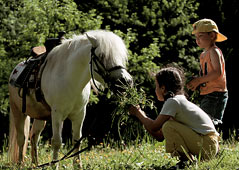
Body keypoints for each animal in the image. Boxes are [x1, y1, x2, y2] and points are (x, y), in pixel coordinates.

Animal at [8, 29, 133, 168]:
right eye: (102, 56)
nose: (126, 81)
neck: (70, 79)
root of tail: (15, 70)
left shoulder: (79, 114)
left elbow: (76, 141)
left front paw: (78, 165)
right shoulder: (57, 114)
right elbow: (57, 142)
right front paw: (54, 166)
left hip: (40, 116)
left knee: (34, 136)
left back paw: (36, 164)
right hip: (18, 111)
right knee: (22, 138)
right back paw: (20, 164)